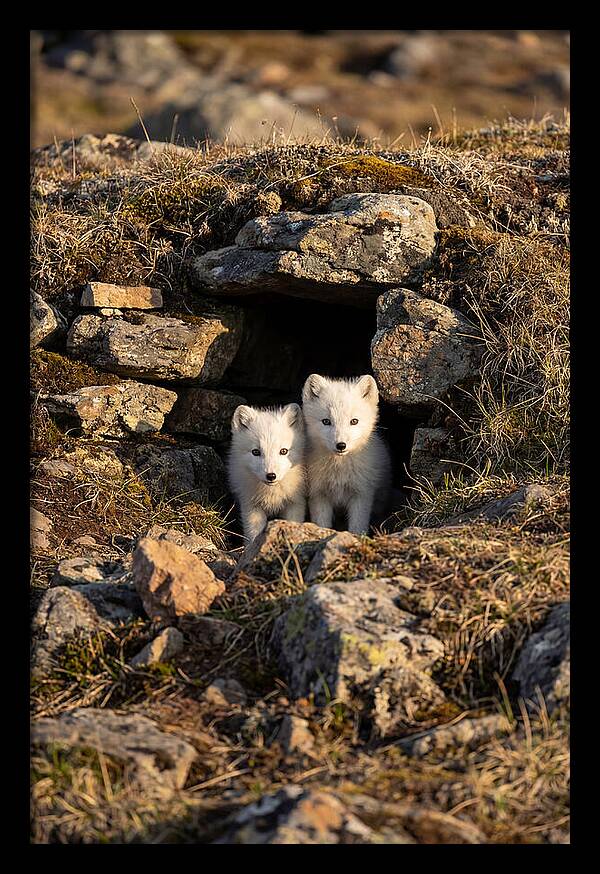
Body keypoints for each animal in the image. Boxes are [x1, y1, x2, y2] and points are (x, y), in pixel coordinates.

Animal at [228, 403, 307, 542]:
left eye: (284, 451)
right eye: (256, 452)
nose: (271, 476)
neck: (271, 493)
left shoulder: (296, 503)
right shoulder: (251, 506)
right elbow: (253, 535)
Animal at [301, 374, 392, 534]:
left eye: (354, 421)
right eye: (326, 421)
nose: (341, 445)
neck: (339, 470)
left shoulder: (362, 494)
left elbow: (357, 527)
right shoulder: (318, 494)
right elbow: (322, 523)